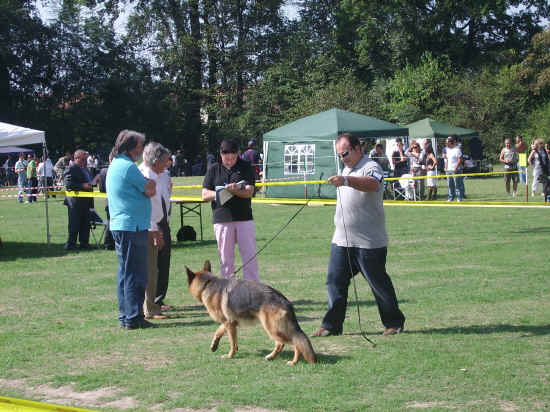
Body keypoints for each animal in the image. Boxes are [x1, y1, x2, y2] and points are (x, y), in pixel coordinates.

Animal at [187, 262, 316, 366]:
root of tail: (285, 301)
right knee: (281, 344)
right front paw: (214, 345)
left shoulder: (229, 324)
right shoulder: (229, 323)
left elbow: (232, 343)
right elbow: (218, 331)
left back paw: (293, 362)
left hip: (272, 329)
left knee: (295, 343)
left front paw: (230, 356)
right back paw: (271, 357)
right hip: (274, 329)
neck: (207, 284)